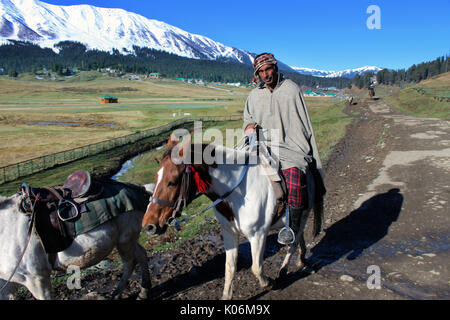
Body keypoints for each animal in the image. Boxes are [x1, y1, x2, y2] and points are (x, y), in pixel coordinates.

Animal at [0, 182, 154, 300]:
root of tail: (140, 189)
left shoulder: (36, 279)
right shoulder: (9, 285)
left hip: (125, 240)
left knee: (130, 264)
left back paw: (117, 294)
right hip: (126, 240)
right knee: (141, 254)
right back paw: (143, 291)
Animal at [142, 133, 322, 300]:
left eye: (172, 182)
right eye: (155, 178)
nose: (149, 226)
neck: (238, 193)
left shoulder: (257, 235)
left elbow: (256, 268)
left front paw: (269, 284)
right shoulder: (229, 232)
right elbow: (229, 268)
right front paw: (226, 296)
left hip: (304, 213)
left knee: (294, 241)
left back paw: (283, 271)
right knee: (297, 237)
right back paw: (301, 259)